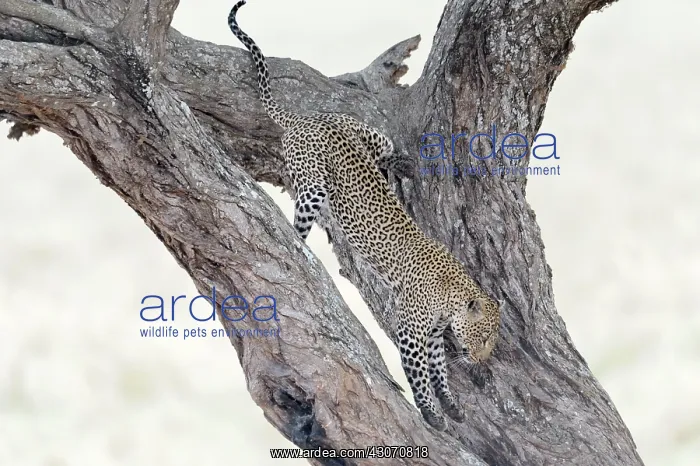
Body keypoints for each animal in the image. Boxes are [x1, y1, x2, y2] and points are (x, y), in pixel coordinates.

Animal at [228, 0, 500, 431]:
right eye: (486, 336)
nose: (482, 359)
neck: (454, 294)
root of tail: (304, 118)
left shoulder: (434, 336)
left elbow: (440, 370)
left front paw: (451, 404)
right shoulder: (410, 333)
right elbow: (421, 375)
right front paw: (431, 412)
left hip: (368, 132)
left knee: (384, 150)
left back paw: (403, 165)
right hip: (313, 185)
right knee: (299, 223)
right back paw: (298, 246)